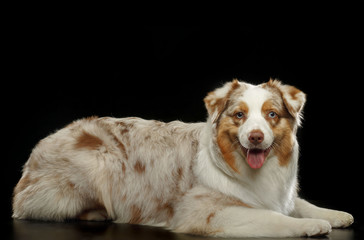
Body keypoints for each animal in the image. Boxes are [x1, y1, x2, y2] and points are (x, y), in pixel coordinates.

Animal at [13, 79, 352, 237]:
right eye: (239, 115)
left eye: (271, 115)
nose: (256, 137)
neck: (251, 171)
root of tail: (33, 154)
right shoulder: (204, 212)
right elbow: (273, 217)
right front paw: (312, 225)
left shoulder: (279, 194)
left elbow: (298, 203)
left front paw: (334, 214)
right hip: (99, 159)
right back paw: (96, 213)